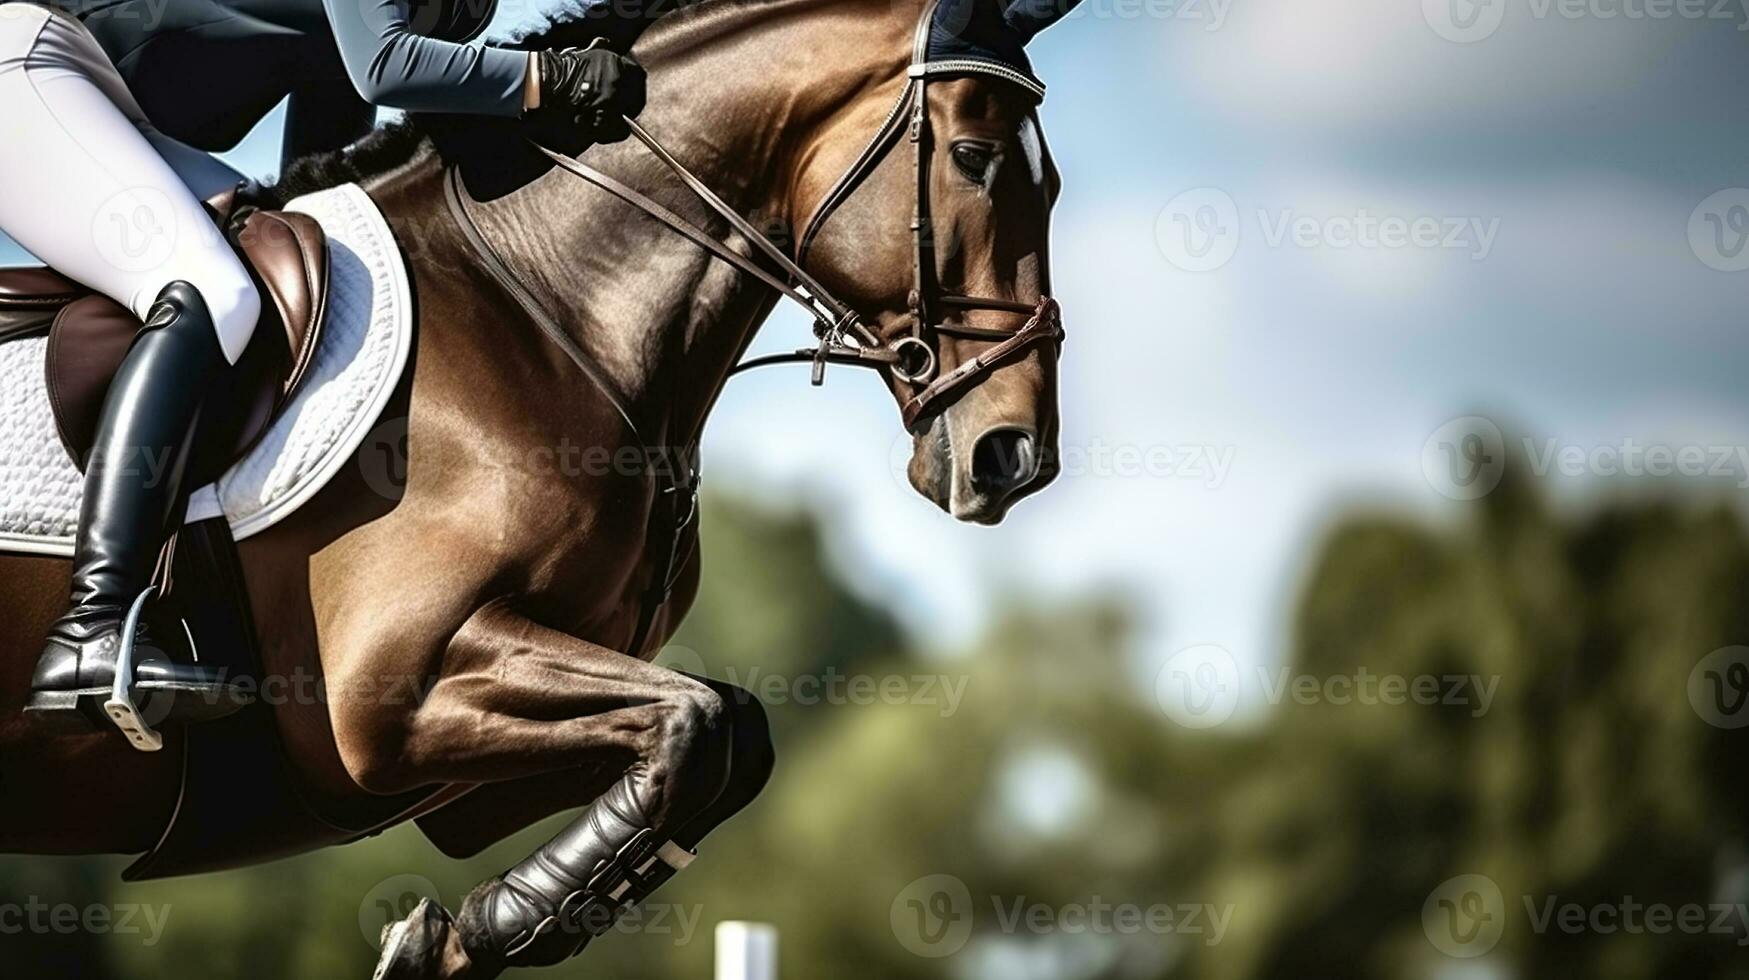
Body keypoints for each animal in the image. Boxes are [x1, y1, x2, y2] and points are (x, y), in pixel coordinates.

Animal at [0, 0, 1063, 973]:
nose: (1013, 456)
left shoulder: (475, 760)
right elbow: (697, 724)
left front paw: (468, 935)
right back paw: (98, 662)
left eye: (1049, 181)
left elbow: (724, 736)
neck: (537, 303)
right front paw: (453, 939)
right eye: (974, 155)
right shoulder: (391, 696)